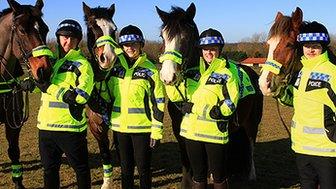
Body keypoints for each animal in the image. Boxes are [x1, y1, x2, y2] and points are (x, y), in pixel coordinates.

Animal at [0, 0, 51, 188]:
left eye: (45, 29)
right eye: (22, 30)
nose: (44, 71)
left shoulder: (13, 122)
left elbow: (14, 151)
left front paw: (18, 182)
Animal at [156, 2, 264, 188]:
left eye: (187, 36)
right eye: (163, 37)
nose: (168, 76)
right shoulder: (180, 134)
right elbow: (188, 165)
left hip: (252, 123)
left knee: (250, 146)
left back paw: (251, 176)